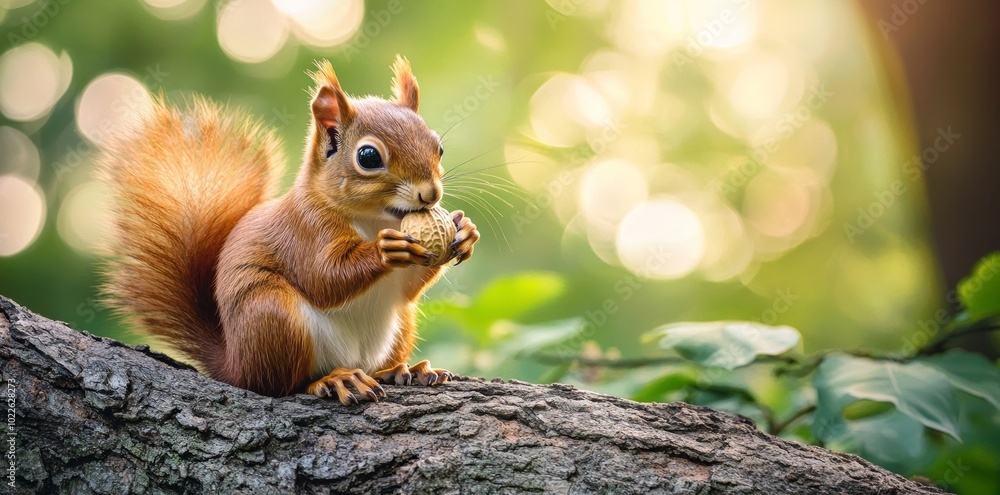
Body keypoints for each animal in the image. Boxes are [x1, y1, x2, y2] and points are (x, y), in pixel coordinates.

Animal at [99, 56, 480, 405]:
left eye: (438, 146)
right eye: (369, 157)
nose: (431, 194)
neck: (376, 220)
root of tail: (234, 365)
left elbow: (408, 289)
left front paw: (465, 231)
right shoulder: (305, 231)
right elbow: (323, 278)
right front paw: (385, 250)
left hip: (399, 325)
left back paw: (402, 370)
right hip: (272, 316)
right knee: (282, 384)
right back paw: (334, 380)